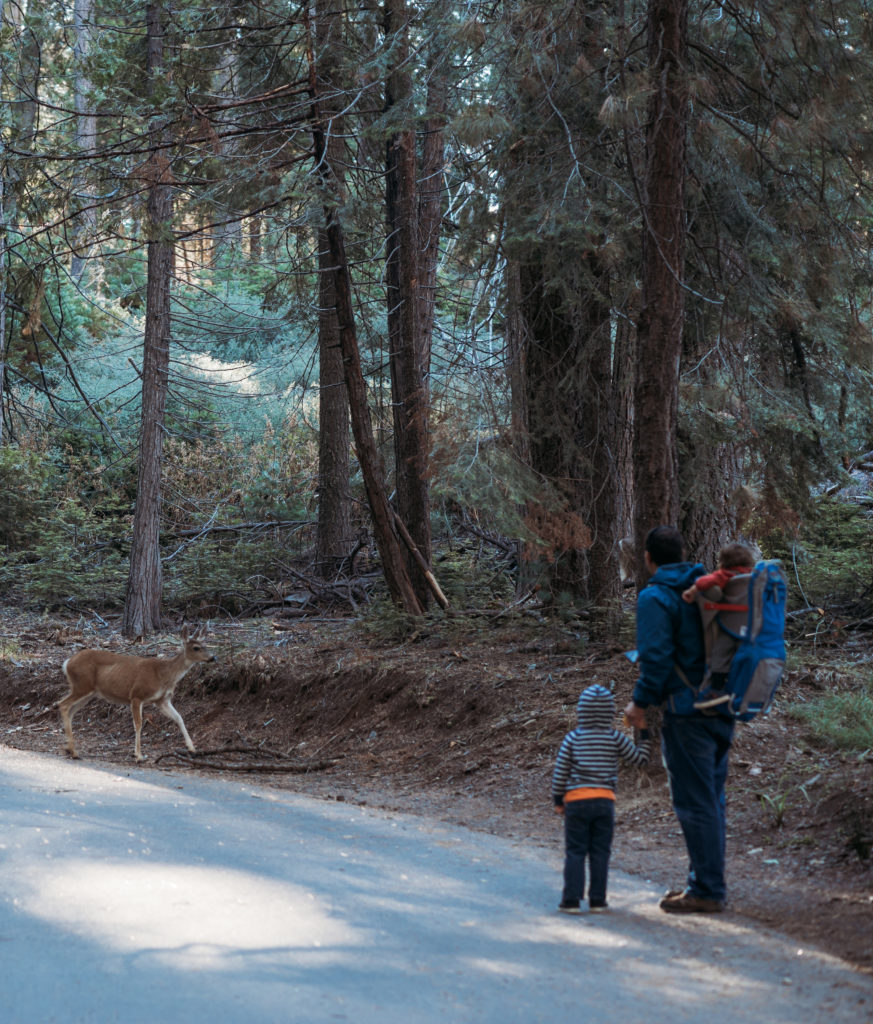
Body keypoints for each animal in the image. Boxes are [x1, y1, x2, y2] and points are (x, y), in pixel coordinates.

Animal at [58, 622, 214, 761]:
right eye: (196, 648)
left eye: (206, 645)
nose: (213, 657)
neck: (163, 675)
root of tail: (67, 662)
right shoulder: (137, 695)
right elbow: (138, 725)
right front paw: (139, 755)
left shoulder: (162, 700)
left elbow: (179, 718)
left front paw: (192, 748)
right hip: (82, 685)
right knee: (62, 705)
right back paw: (73, 751)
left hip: (89, 692)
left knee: (70, 710)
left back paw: (69, 749)